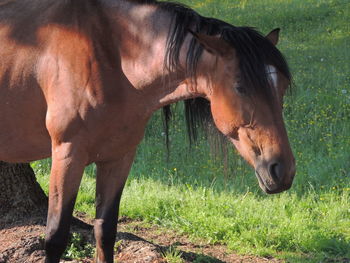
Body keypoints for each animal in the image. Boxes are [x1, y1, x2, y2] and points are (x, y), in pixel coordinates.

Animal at [0, 0, 296, 263]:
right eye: (240, 87)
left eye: (281, 87)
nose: (282, 170)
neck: (111, 55)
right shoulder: (67, 155)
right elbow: (56, 237)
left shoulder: (118, 158)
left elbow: (105, 231)